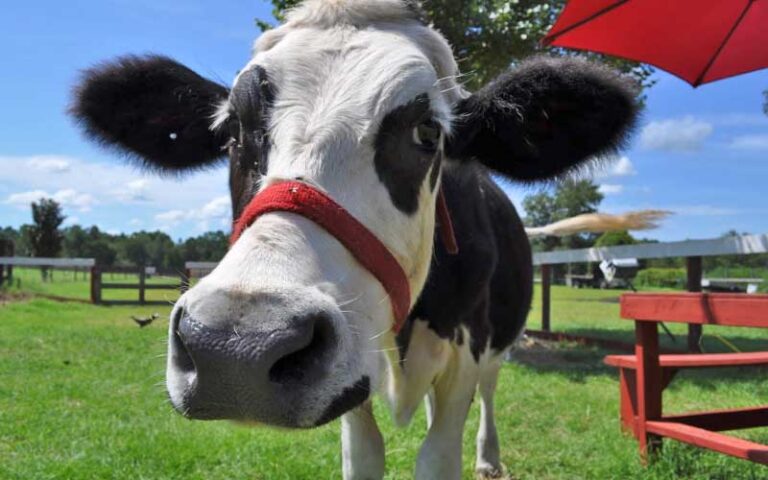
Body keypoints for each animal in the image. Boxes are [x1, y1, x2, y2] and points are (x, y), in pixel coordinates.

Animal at [72, 1, 640, 478]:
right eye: (232, 131)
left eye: (427, 132)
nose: (236, 348)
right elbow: (366, 457)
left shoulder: (466, 355)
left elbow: (439, 454)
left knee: (490, 391)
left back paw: (489, 457)